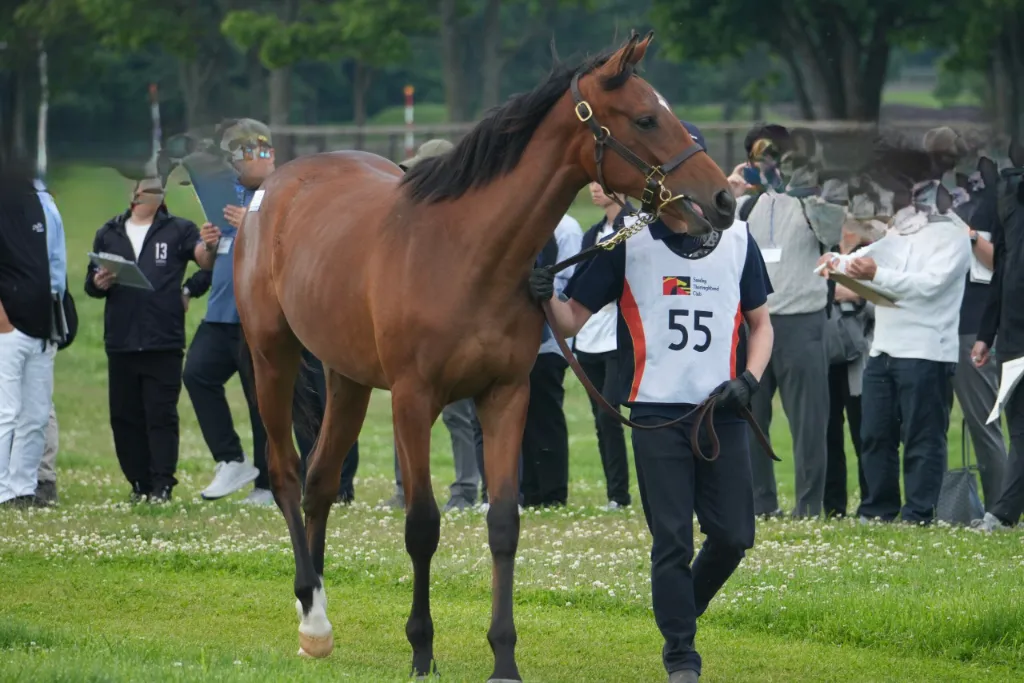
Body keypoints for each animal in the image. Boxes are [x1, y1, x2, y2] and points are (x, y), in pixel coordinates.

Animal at [233, 31, 735, 681]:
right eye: (647, 117)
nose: (722, 199)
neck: (467, 253)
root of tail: (272, 188)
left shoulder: (505, 396)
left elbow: (503, 524)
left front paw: (504, 659)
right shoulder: (414, 401)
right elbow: (422, 525)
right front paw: (422, 649)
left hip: (348, 377)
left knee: (320, 480)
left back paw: (316, 621)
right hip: (272, 355)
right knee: (289, 474)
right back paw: (312, 617)